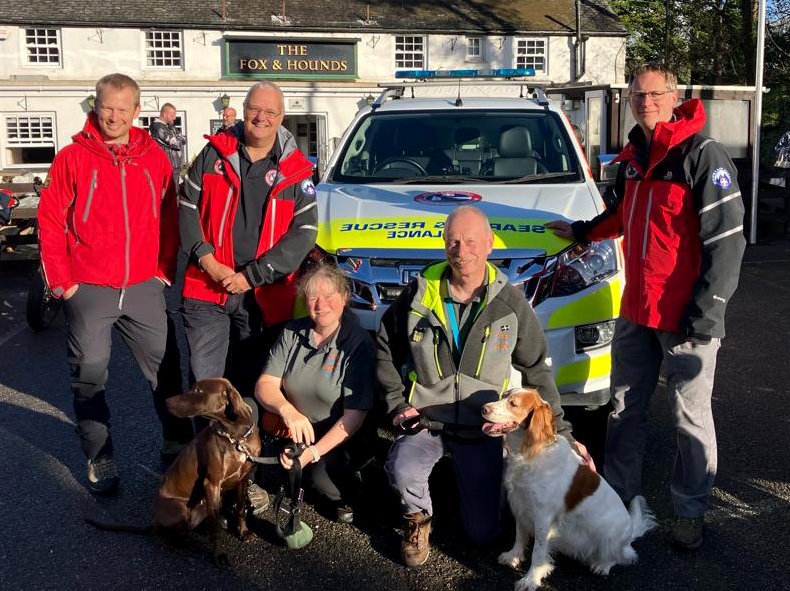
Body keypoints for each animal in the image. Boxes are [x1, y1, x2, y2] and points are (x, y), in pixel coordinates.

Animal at [86, 376, 262, 568]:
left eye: (198, 391)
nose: (166, 402)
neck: (235, 437)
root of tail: (154, 521)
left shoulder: (243, 478)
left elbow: (240, 509)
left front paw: (243, 533)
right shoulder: (212, 483)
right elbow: (214, 527)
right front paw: (218, 555)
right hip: (180, 509)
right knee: (163, 536)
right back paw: (184, 545)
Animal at [482, 388, 656, 591]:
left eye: (513, 403)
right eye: (504, 396)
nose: (483, 408)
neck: (530, 453)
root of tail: (630, 532)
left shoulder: (543, 517)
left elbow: (538, 552)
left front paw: (531, 579)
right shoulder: (520, 505)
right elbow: (520, 536)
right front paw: (513, 556)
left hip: (610, 538)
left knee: (624, 555)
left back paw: (602, 565)